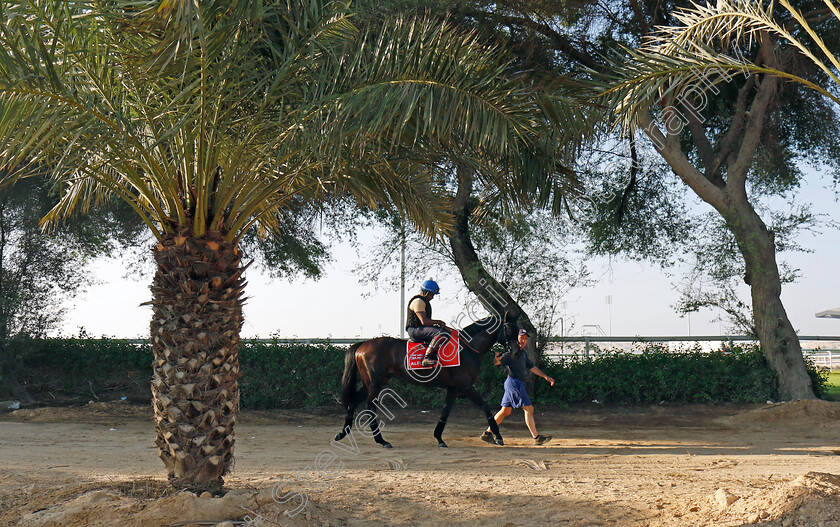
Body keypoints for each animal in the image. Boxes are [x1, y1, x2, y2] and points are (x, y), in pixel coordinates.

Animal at [334, 316, 520, 448]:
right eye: (510, 329)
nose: (517, 352)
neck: (467, 348)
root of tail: (363, 344)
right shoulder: (466, 386)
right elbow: (485, 406)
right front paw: (498, 436)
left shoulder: (453, 389)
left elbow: (445, 412)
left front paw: (439, 438)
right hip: (375, 385)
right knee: (370, 409)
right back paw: (382, 440)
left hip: (369, 384)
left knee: (353, 403)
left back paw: (343, 433)